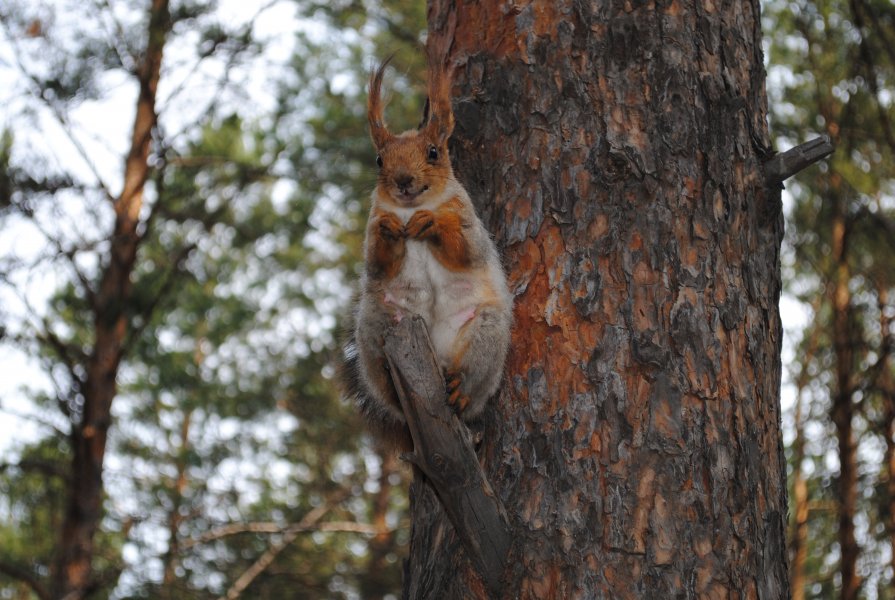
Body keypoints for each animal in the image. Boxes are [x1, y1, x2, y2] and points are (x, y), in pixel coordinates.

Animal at [342, 48, 512, 450]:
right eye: (379, 160)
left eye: (433, 152)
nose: (403, 181)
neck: (409, 209)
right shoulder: (373, 229)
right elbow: (378, 262)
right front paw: (390, 232)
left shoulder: (469, 222)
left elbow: (466, 250)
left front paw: (431, 224)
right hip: (378, 323)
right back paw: (391, 384)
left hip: (486, 331)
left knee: (472, 376)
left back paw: (460, 388)